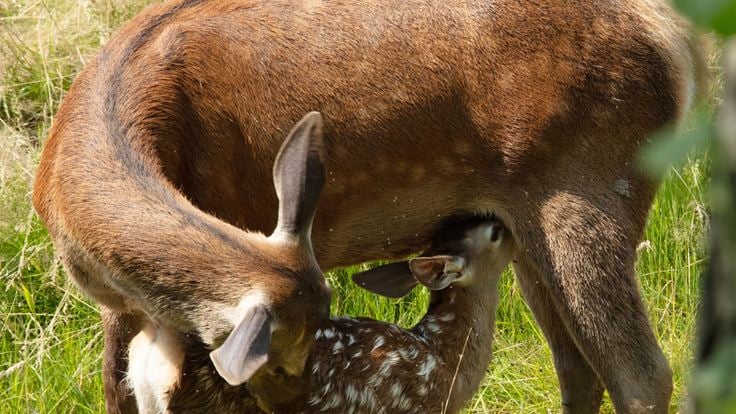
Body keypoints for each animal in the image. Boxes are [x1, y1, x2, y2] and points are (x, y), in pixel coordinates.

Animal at [33, 0, 700, 412]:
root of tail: (672, 37)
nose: (296, 403)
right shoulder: (121, 305)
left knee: (643, 376)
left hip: (589, 184)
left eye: (290, 351)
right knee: (579, 370)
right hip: (527, 222)